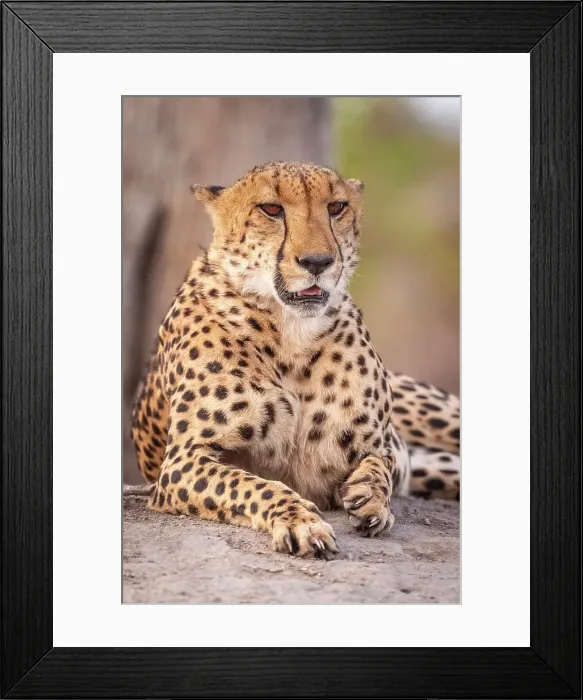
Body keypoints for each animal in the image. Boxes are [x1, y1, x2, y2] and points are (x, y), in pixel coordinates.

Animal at [130, 161, 460, 558]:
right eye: (271, 209)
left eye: (336, 207)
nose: (317, 262)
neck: (292, 336)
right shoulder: (183, 462)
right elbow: (253, 483)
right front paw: (300, 520)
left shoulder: (385, 444)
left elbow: (380, 463)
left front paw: (370, 497)